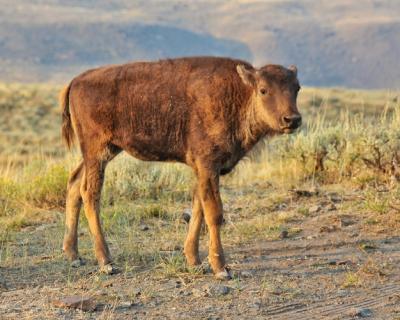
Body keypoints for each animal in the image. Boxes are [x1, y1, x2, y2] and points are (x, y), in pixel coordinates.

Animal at [61, 56, 302, 278]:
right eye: (263, 90)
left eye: (297, 88)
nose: (292, 119)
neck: (240, 92)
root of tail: (75, 81)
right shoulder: (208, 166)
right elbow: (214, 213)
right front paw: (221, 268)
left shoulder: (203, 171)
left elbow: (198, 208)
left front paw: (194, 260)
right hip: (97, 153)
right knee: (89, 193)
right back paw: (106, 262)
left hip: (105, 151)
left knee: (74, 183)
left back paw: (73, 255)